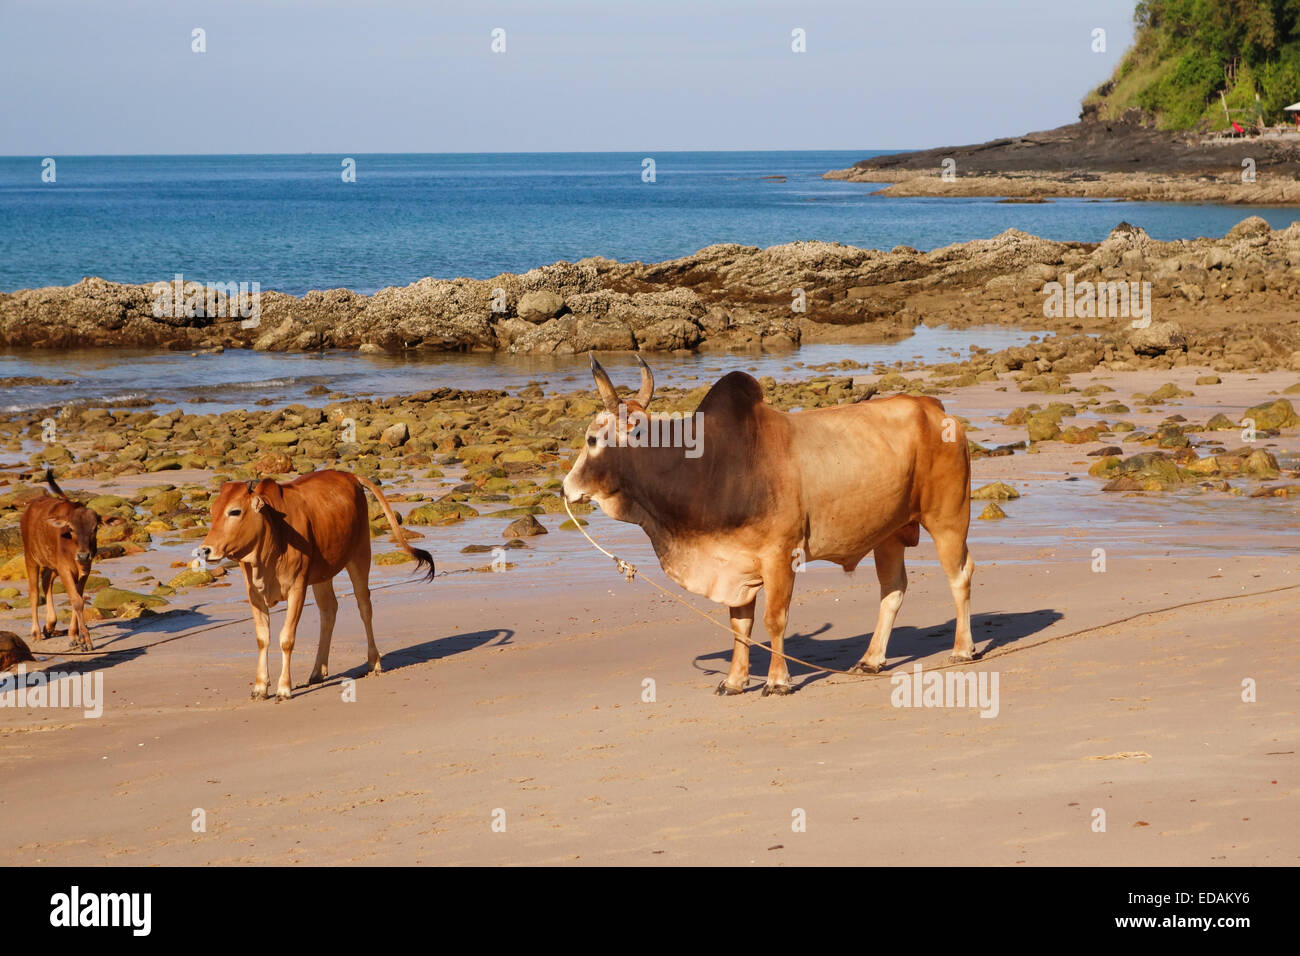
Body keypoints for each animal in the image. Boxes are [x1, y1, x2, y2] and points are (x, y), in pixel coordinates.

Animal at [195, 473, 434, 702]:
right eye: (213, 511)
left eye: (234, 511)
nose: (205, 550)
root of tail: (351, 476)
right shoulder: (253, 593)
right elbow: (262, 638)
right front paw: (260, 687)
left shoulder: (297, 588)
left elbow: (286, 639)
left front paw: (284, 688)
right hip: (323, 574)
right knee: (329, 611)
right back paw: (318, 671)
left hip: (359, 555)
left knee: (364, 606)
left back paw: (373, 662)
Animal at [561, 356, 977, 697]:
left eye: (592, 438)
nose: (565, 487)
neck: (709, 470)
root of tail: (935, 408)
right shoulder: (733, 564)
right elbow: (739, 626)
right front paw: (734, 681)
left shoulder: (780, 556)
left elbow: (774, 620)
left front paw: (778, 681)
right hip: (888, 534)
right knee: (892, 589)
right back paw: (872, 659)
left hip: (948, 518)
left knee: (960, 575)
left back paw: (962, 649)